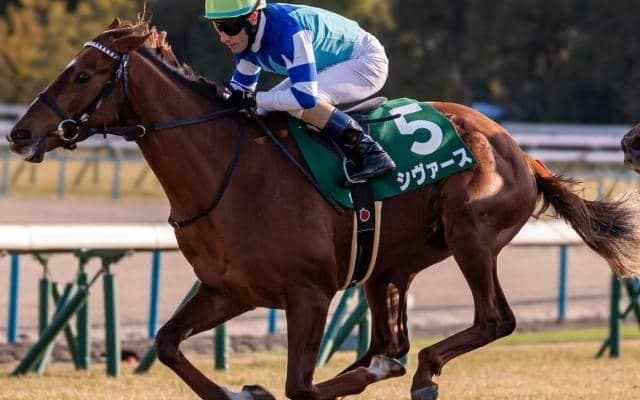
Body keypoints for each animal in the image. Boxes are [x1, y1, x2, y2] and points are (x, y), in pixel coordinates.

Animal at [8, 17, 640, 400]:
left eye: (83, 74)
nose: (20, 133)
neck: (227, 174)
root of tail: (520, 151)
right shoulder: (230, 289)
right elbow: (167, 344)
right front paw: (241, 389)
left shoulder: (309, 293)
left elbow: (300, 386)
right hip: (389, 266)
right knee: (393, 337)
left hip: (471, 234)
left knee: (492, 320)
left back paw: (421, 372)